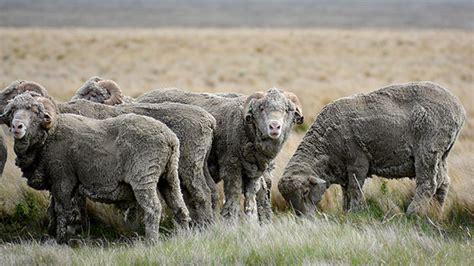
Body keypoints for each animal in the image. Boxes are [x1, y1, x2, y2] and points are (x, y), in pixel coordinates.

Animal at [135, 87, 304, 220]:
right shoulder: (231, 167)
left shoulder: (254, 174)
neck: (247, 130)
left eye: (288, 110)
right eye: (261, 108)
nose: (274, 127)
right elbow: (233, 198)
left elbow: (250, 201)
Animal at [278, 81, 466, 216]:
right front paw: (346, 212)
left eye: (305, 192)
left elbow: (355, 189)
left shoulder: (357, 161)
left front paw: (355, 213)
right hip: (442, 154)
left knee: (428, 183)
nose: (303, 218)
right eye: (288, 201)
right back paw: (436, 212)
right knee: (443, 183)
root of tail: (459, 108)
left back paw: (414, 212)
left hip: (428, 149)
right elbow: (346, 192)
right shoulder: (344, 168)